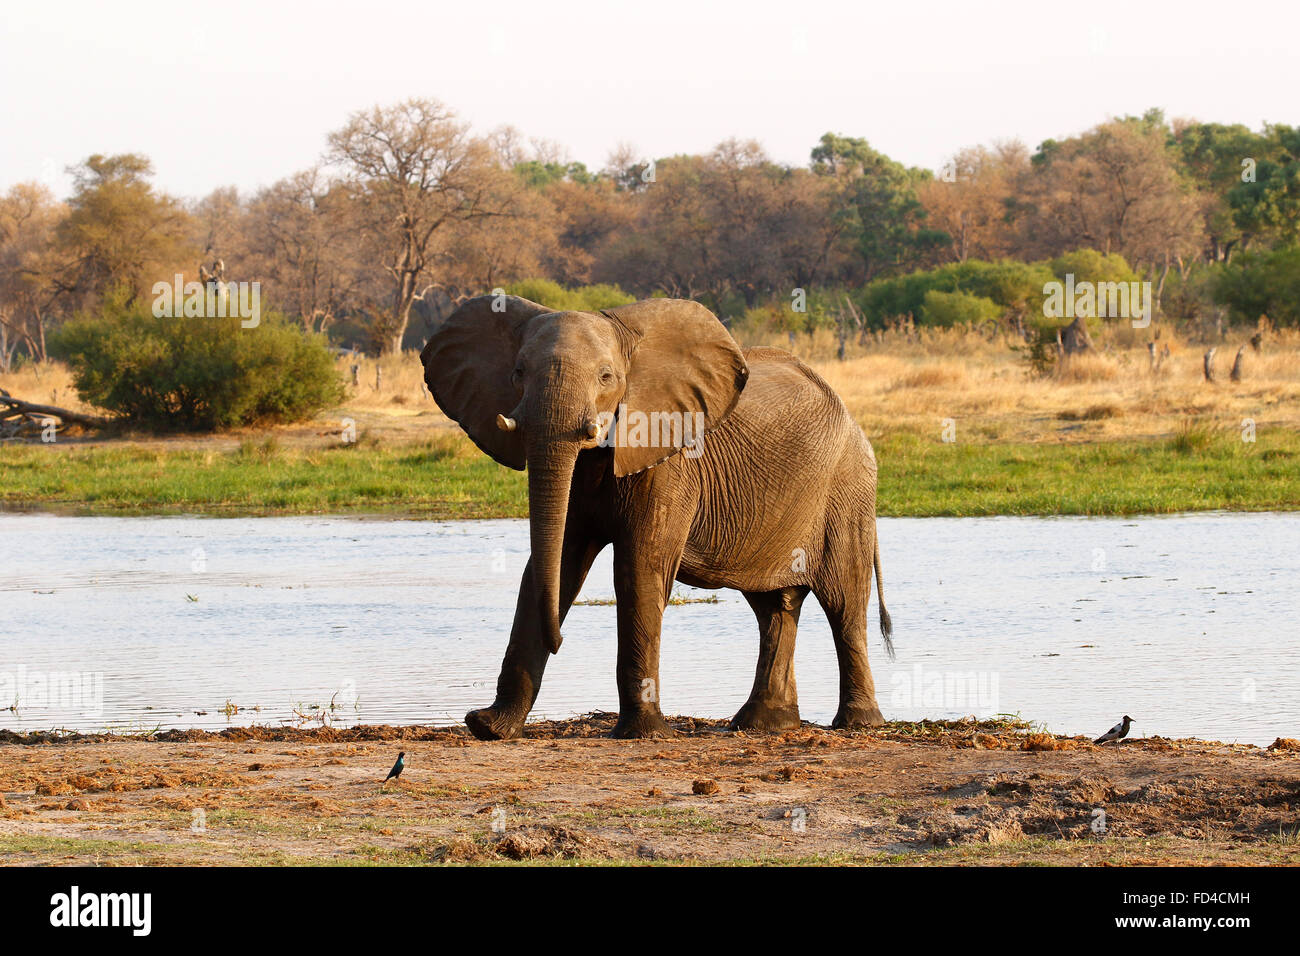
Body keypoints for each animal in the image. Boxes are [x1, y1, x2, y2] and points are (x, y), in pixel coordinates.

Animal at [420, 294, 892, 740]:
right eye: (517, 372)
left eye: (606, 377)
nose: (559, 641)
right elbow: (552, 566)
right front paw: (489, 728)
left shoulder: (668, 459)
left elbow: (638, 569)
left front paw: (643, 733)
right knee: (774, 606)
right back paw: (763, 723)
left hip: (846, 492)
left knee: (844, 603)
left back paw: (858, 723)